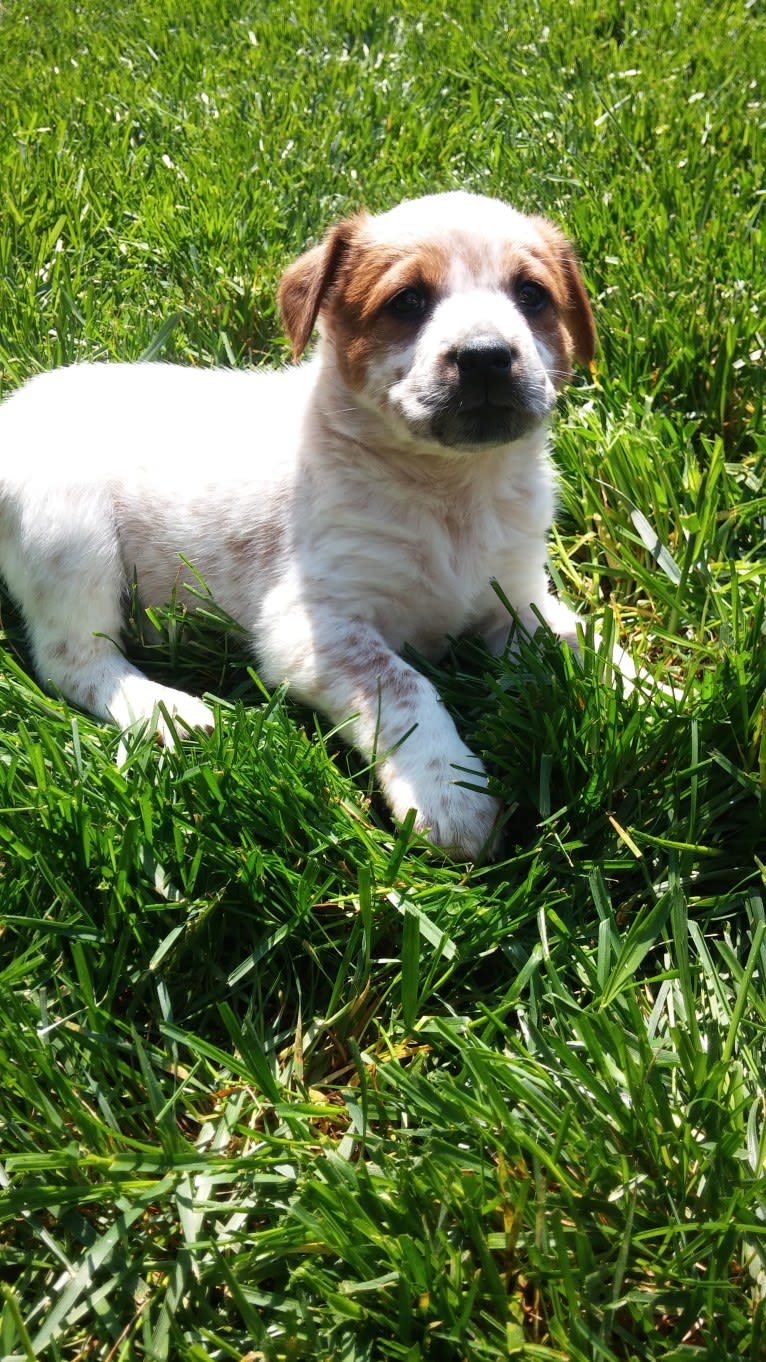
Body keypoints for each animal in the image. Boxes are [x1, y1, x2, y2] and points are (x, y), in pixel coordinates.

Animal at [0, 192, 594, 855]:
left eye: (532, 295)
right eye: (407, 301)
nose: (487, 357)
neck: (452, 493)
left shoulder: (516, 595)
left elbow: (582, 640)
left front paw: (650, 696)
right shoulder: (314, 629)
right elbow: (406, 687)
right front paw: (451, 792)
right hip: (70, 538)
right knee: (72, 660)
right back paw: (171, 711)